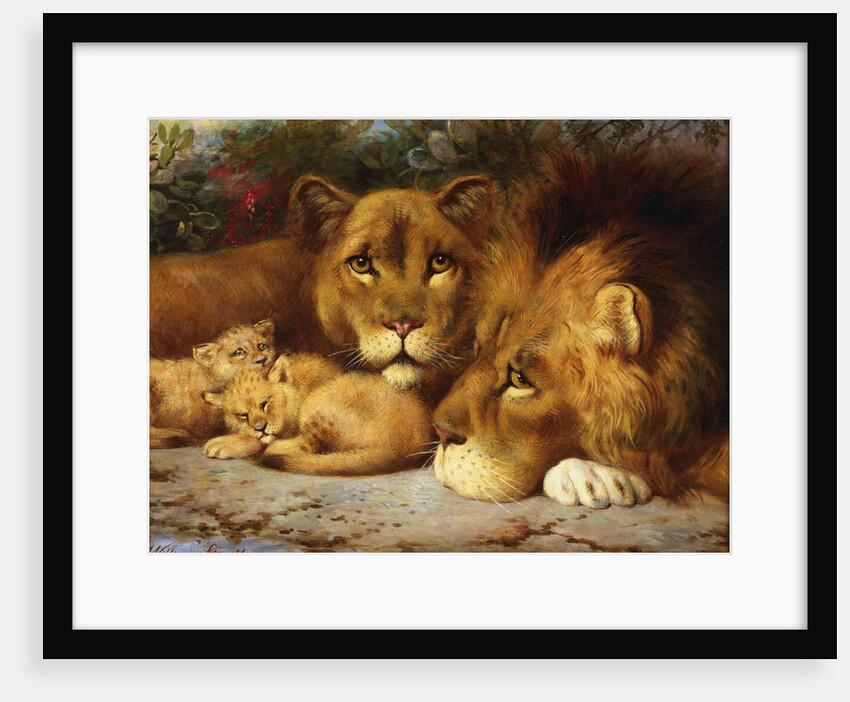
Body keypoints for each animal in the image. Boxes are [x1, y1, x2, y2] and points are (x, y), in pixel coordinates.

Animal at [202, 353, 433, 476]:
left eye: (265, 403)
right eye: (242, 415)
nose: (260, 428)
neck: (297, 385)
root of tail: (402, 450)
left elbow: (261, 441)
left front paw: (221, 444)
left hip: (319, 403)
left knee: (305, 446)